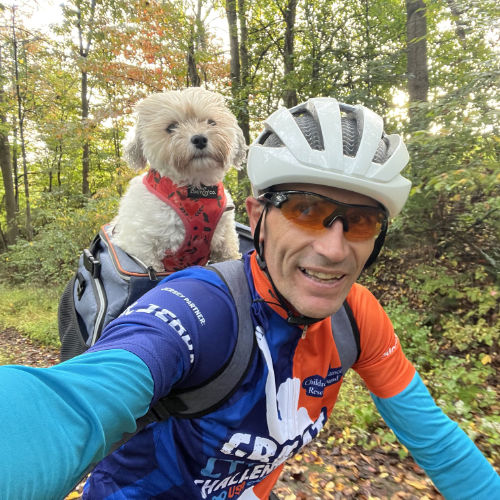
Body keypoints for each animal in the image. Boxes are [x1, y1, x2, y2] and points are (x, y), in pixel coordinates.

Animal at [112, 88, 247, 272]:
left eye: (211, 122)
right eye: (171, 127)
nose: (199, 138)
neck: (196, 191)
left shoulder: (225, 238)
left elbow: (230, 256)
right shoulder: (142, 247)